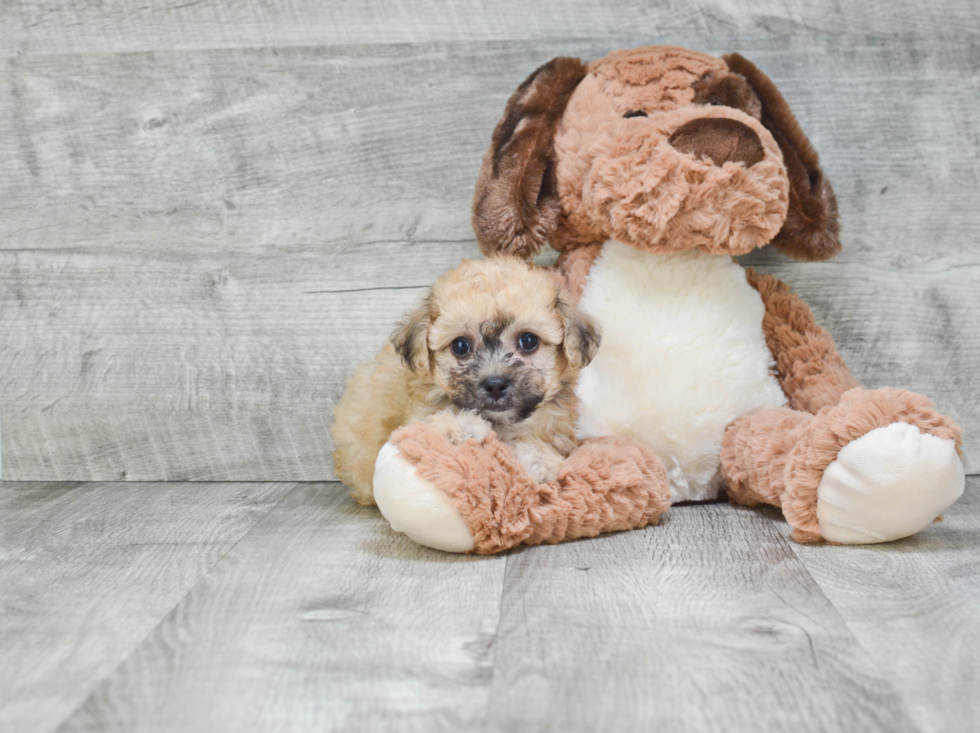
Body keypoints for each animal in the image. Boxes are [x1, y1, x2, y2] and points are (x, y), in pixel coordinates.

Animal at [334, 256, 600, 504]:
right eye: (460, 346)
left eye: (528, 341)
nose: (495, 384)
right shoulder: (416, 420)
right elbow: (438, 421)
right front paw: (466, 426)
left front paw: (538, 460)